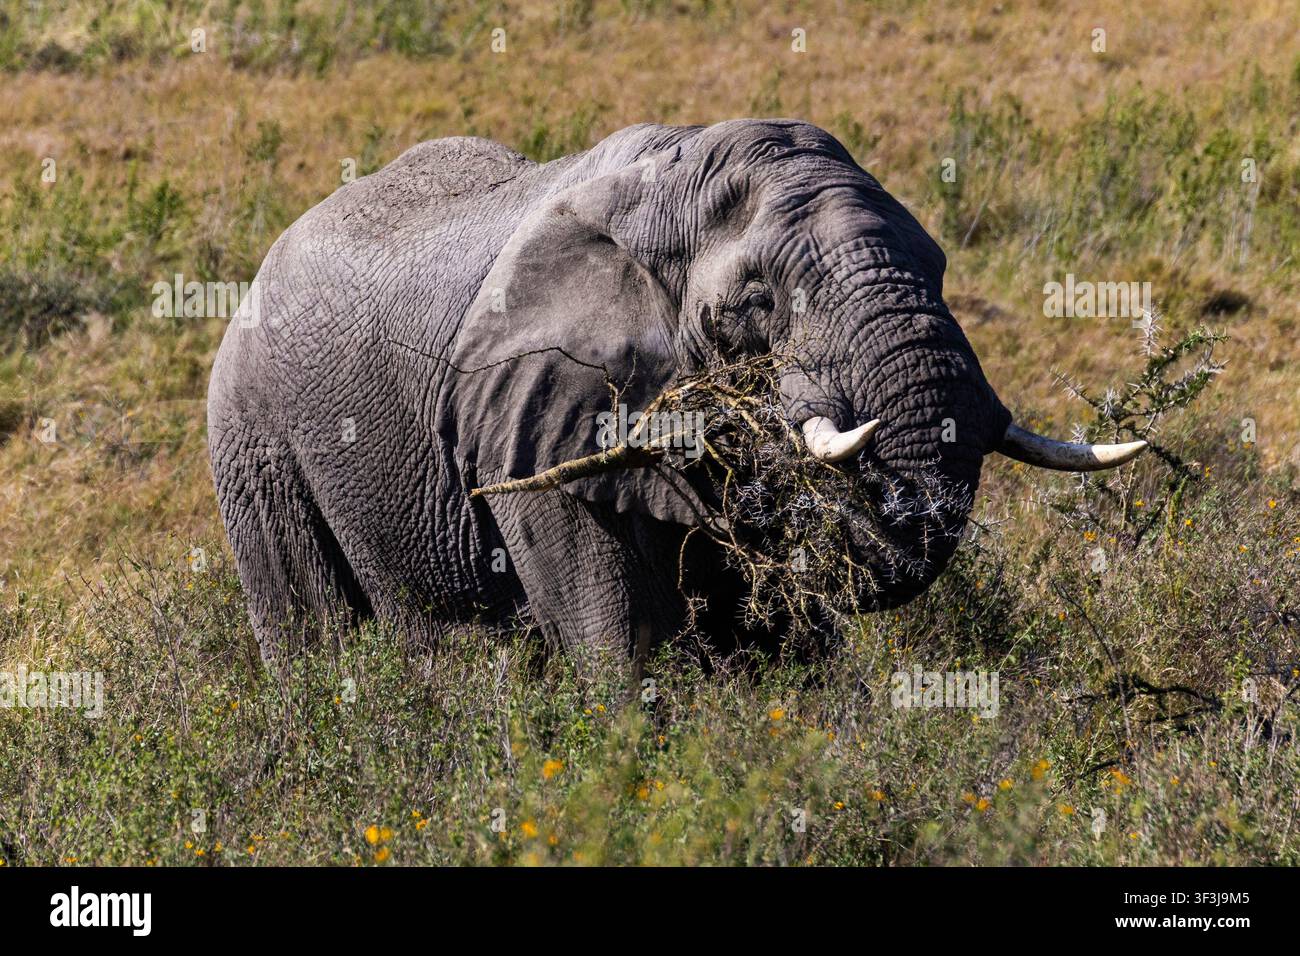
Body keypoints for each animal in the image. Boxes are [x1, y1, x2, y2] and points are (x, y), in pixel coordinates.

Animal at [207, 119, 1145, 663]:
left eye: (944, 266)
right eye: (757, 302)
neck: (669, 186)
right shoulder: (533, 415)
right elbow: (622, 647)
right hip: (255, 447)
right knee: (318, 640)